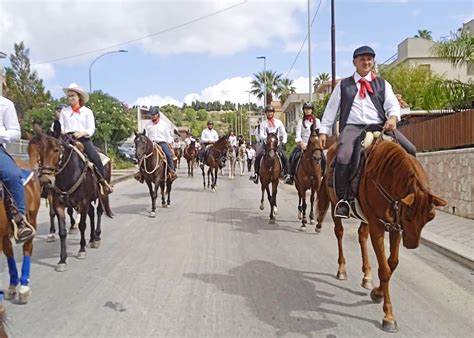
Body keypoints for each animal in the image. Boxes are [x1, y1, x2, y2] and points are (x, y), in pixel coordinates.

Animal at [35, 132, 113, 272]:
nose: (45, 180)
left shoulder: (83, 202)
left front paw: (81, 250)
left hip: (101, 194)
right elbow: (62, 232)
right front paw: (62, 260)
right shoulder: (58, 204)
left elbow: (82, 225)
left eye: (56, 150)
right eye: (39, 151)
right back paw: (91, 239)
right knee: (91, 213)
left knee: (98, 212)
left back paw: (97, 237)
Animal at [316, 135, 446, 332]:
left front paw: (377, 292)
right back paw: (342, 269)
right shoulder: (378, 226)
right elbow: (384, 269)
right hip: (334, 205)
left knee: (362, 235)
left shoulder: (395, 227)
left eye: (430, 217)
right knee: (339, 233)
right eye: (408, 215)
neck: (386, 178)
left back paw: (366, 276)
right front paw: (389, 316)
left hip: (365, 218)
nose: (412, 244)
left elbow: (392, 263)